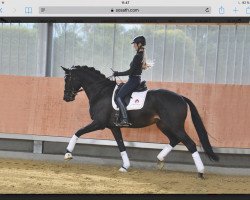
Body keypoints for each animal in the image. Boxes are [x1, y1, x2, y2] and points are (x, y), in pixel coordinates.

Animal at [61, 65, 218, 178]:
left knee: (190, 144)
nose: (66, 98)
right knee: (174, 140)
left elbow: (78, 132)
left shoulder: (99, 123)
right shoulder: (114, 127)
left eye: (68, 79)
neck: (101, 92)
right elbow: (121, 145)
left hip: (175, 126)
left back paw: (201, 172)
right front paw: (125, 167)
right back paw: (160, 160)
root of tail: (180, 97)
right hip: (163, 125)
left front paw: (68, 153)